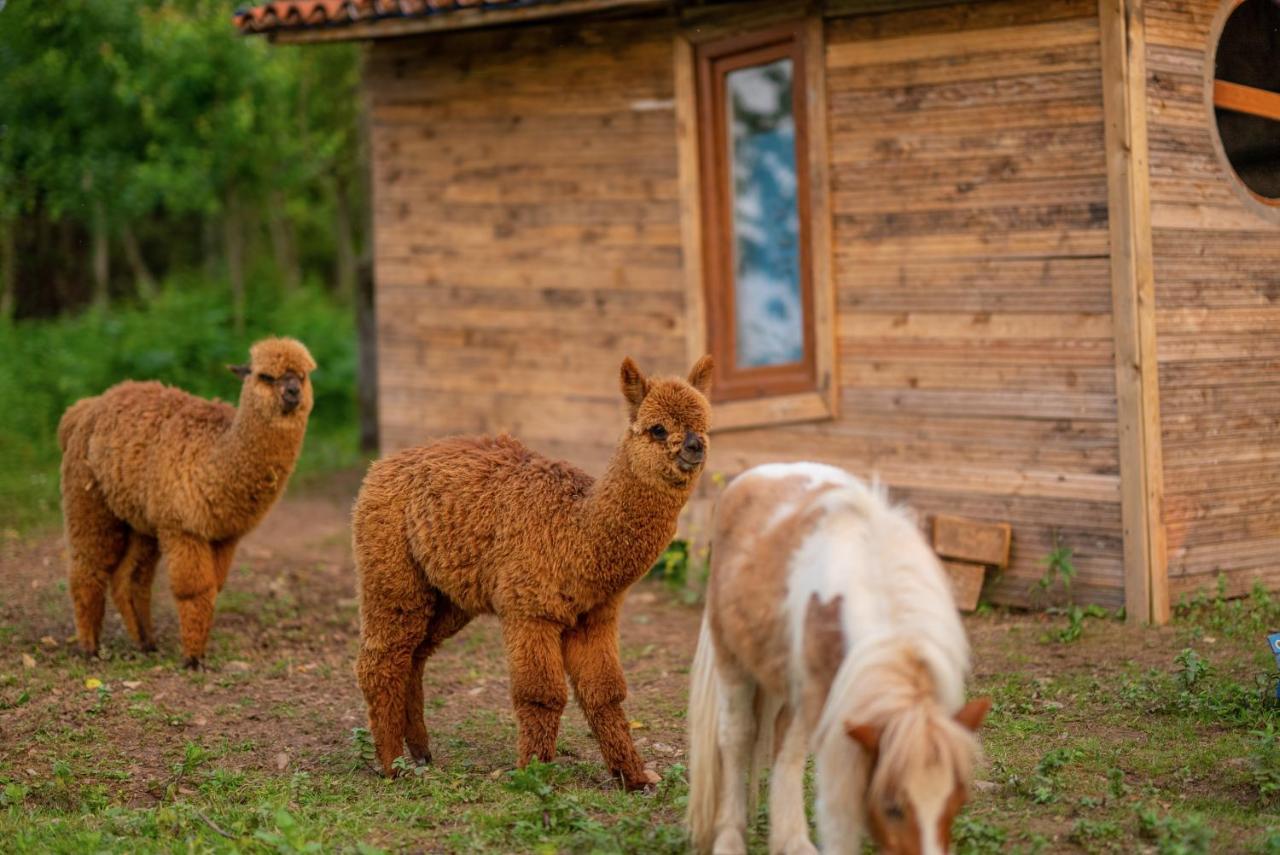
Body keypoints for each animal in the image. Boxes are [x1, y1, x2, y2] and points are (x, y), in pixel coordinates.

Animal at [686, 463, 993, 849]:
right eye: (892, 807)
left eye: (958, 801)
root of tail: (754, 475)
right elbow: (837, 819)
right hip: (732, 662)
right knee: (736, 736)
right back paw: (729, 838)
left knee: (785, 750)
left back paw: (793, 842)